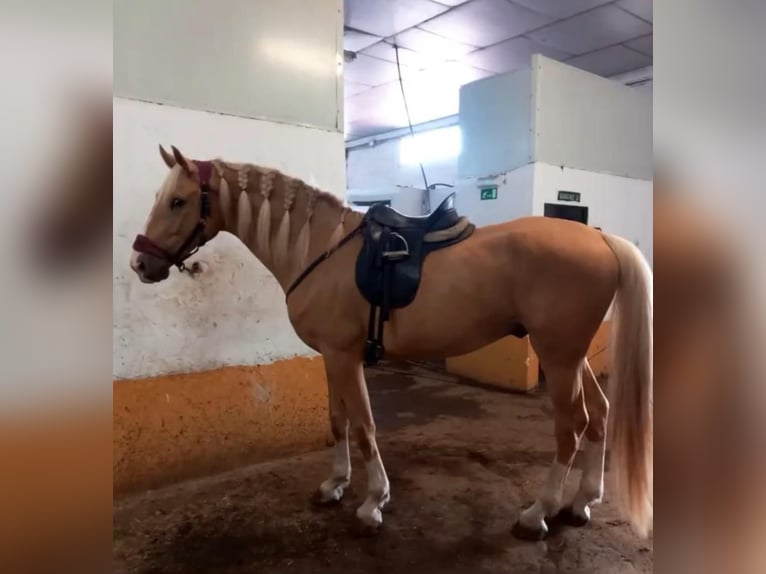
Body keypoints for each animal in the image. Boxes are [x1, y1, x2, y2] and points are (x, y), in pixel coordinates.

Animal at [127, 146, 656, 544]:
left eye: (177, 201)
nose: (140, 264)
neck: (317, 248)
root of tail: (601, 239)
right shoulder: (332, 357)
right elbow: (338, 421)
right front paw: (334, 485)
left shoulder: (346, 358)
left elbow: (364, 428)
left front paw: (372, 502)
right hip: (572, 356)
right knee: (600, 414)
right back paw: (581, 503)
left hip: (559, 358)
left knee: (573, 426)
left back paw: (538, 513)